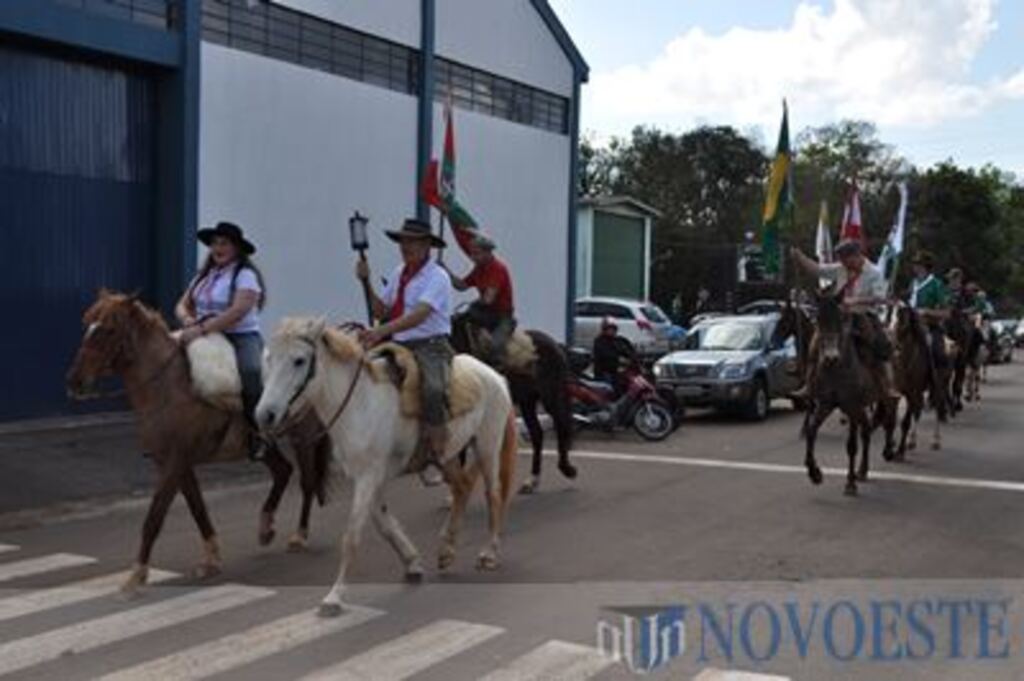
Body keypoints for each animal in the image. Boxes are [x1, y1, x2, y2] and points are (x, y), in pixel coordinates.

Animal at [65, 288, 327, 593]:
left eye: (109, 329)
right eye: (87, 324)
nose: (74, 382)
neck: (169, 386)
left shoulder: (174, 462)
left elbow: (154, 517)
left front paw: (137, 574)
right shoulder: (176, 463)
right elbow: (197, 508)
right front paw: (211, 559)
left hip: (304, 438)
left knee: (307, 482)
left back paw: (299, 536)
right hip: (266, 446)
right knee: (283, 471)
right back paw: (265, 528)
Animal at [252, 319, 516, 614]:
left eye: (299, 360)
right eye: (268, 358)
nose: (265, 415)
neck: (360, 404)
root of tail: (494, 376)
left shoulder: (369, 476)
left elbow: (352, 535)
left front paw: (334, 596)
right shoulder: (369, 477)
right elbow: (383, 523)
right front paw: (412, 563)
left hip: (487, 445)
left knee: (493, 495)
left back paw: (488, 553)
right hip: (447, 456)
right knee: (462, 488)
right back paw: (446, 552)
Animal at [450, 313, 577, 493]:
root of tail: (556, 345)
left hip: (551, 396)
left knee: (561, 426)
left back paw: (567, 469)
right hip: (527, 401)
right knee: (537, 434)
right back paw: (532, 480)